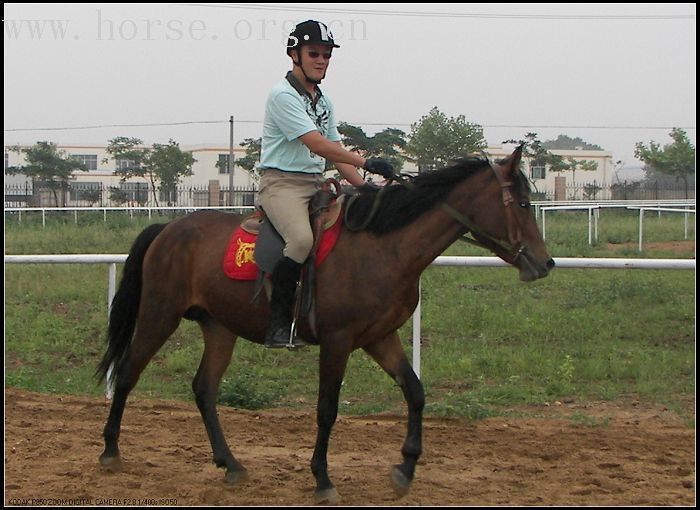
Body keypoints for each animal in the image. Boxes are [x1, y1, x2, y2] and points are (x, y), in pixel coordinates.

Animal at [97, 146, 552, 502]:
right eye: (523, 204)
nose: (544, 264)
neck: (385, 247)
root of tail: (168, 228)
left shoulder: (380, 337)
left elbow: (415, 392)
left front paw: (405, 468)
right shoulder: (338, 341)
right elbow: (327, 409)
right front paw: (322, 478)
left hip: (219, 327)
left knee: (204, 389)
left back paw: (230, 463)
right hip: (159, 314)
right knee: (128, 372)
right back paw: (110, 452)